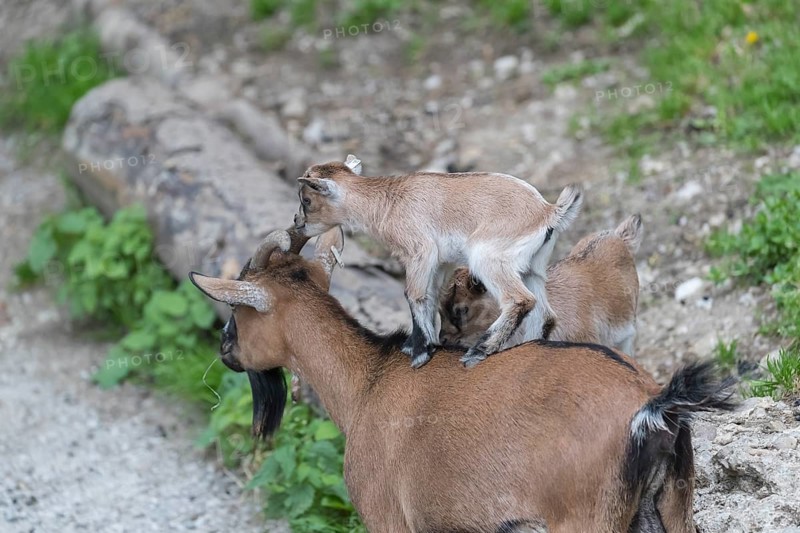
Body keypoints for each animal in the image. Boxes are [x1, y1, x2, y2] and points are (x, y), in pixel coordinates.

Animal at [292, 155, 583, 369]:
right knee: (545, 315)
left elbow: (414, 295)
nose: (297, 222)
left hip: (488, 259)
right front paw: (417, 346)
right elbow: (430, 297)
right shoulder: (441, 263)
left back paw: (478, 352)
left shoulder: (420, 252)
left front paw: (420, 354)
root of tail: (548, 212)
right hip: (533, 270)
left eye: (307, 199)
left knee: (520, 300)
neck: (387, 203)